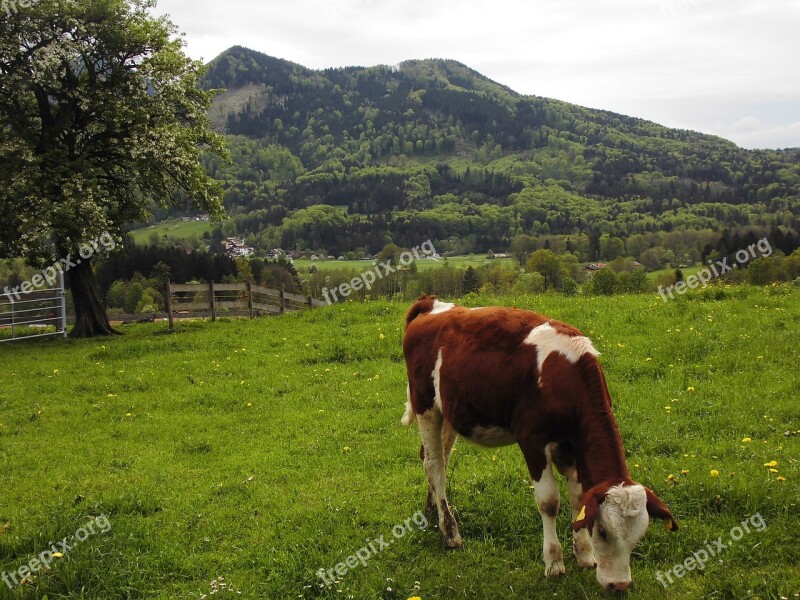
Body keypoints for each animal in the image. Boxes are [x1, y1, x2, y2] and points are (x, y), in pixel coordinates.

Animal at [400, 296, 676, 592]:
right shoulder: (532, 440)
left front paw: (584, 555)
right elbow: (549, 502)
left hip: (450, 411)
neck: (565, 375)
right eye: (603, 531)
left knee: (435, 458)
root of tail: (432, 304)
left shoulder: (572, 445)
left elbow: (578, 498)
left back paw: (433, 512)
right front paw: (554, 563)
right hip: (426, 406)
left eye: (639, 535)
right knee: (435, 464)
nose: (619, 585)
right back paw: (450, 531)